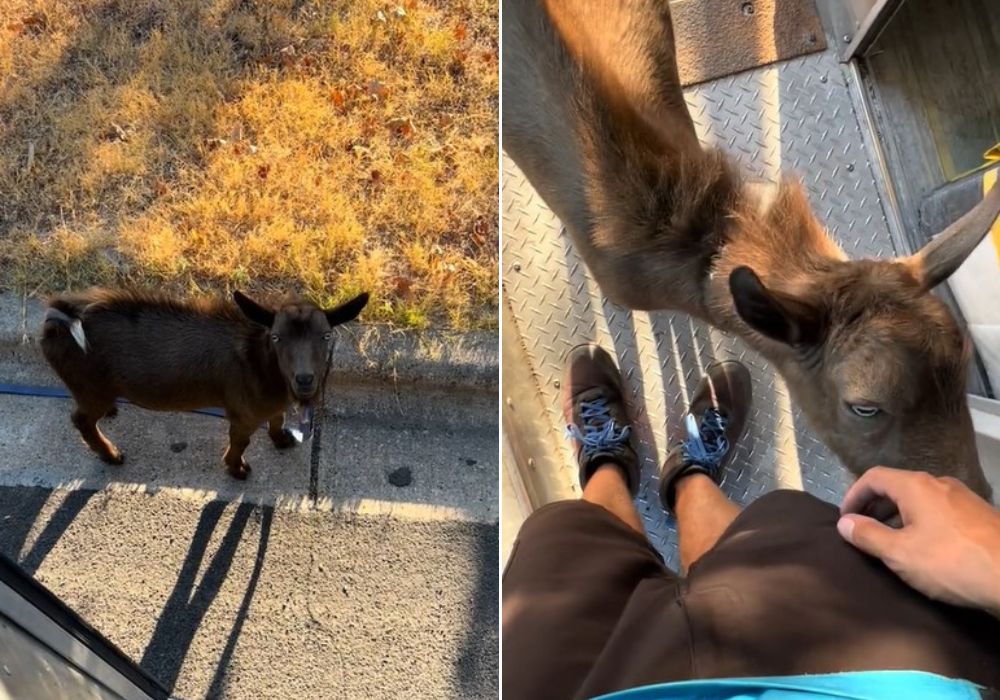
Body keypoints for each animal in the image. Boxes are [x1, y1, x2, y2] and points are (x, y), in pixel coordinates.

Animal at [41, 288, 372, 478]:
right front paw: (237, 469)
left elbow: (277, 419)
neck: (261, 365)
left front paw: (281, 440)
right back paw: (110, 455)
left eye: (326, 335)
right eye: (277, 337)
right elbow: (240, 442)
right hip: (90, 388)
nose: (304, 380)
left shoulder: (271, 405)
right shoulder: (243, 414)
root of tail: (59, 323)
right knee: (81, 419)